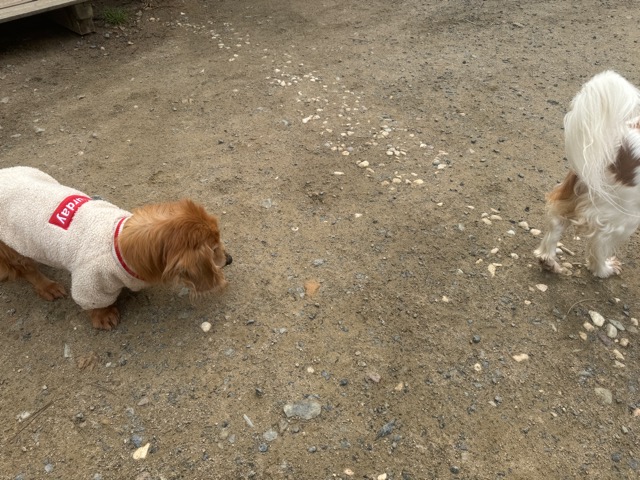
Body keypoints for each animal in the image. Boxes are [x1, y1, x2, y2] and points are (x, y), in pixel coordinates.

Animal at [0, 166, 232, 330]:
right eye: (213, 248)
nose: (229, 259)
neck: (118, 241)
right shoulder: (90, 282)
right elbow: (93, 302)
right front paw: (102, 316)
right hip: (12, 244)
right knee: (26, 269)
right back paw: (47, 286)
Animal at [535, 70, 640, 278]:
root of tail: (619, 140)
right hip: (625, 213)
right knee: (599, 240)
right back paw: (603, 269)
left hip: (581, 188)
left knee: (557, 218)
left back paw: (548, 259)